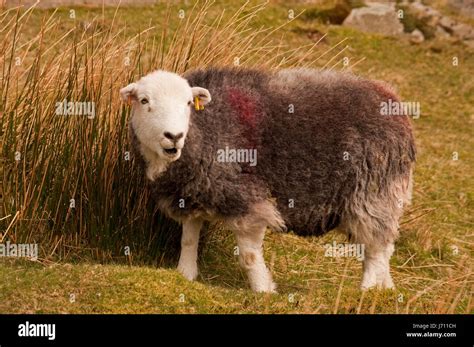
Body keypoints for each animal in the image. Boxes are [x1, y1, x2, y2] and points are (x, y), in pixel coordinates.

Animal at [120, 67, 416, 294]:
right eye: (144, 101)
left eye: (188, 103)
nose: (174, 136)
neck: (205, 129)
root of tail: (392, 100)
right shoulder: (192, 194)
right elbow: (189, 240)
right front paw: (186, 275)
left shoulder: (246, 200)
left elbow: (249, 256)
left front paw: (264, 291)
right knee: (383, 246)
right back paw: (385, 289)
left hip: (373, 190)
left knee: (376, 246)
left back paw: (367, 289)